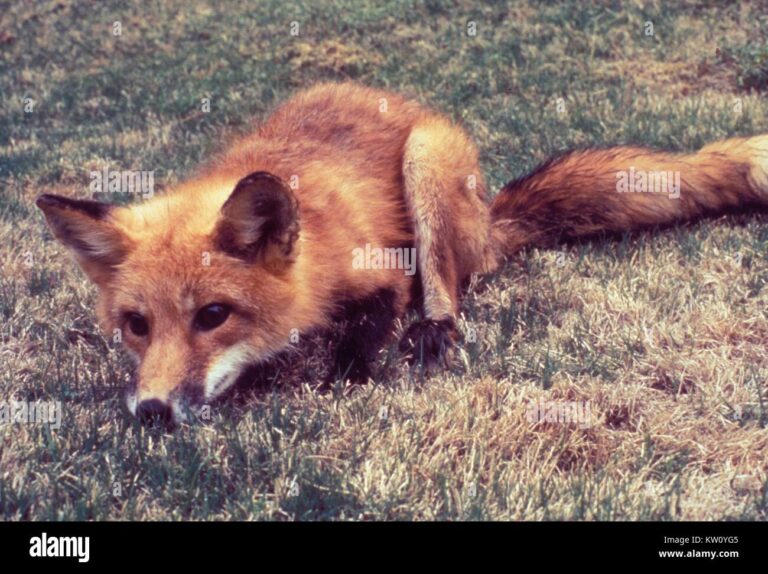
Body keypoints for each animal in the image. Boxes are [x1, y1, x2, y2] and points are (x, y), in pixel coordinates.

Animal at [37, 84, 768, 428]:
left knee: (448, 285)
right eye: (137, 325)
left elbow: (370, 326)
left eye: (212, 315)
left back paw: (435, 330)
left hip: (426, 166)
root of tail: (489, 217)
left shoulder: (380, 268)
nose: (153, 414)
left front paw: (349, 370)